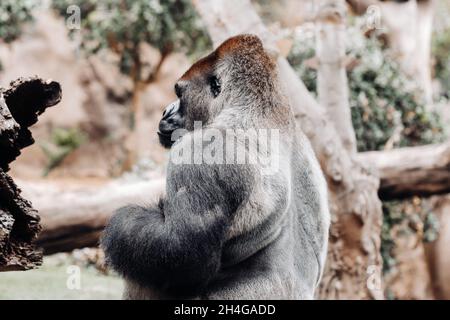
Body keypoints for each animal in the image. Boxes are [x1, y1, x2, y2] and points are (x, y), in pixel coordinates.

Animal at [102, 33, 330, 298]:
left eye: (179, 94)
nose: (165, 110)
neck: (258, 107)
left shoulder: (202, 152)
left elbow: (180, 253)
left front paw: (123, 221)